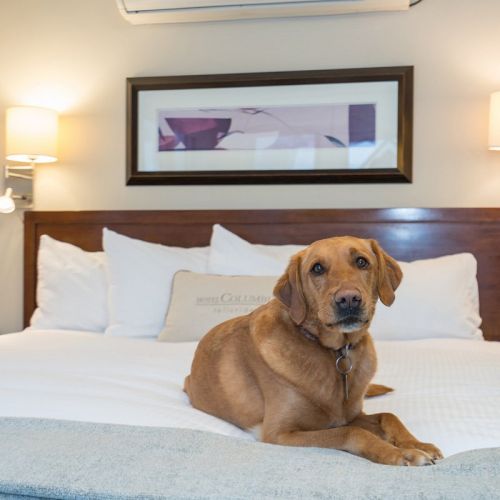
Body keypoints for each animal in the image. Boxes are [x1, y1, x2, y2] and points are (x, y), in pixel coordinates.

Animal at [186, 236, 444, 466]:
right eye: (317, 268)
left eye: (361, 262)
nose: (349, 299)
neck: (335, 351)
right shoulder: (280, 433)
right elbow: (350, 432)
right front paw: (401, 454)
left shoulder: (352, 414)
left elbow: (389, 415)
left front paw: (417, 444)